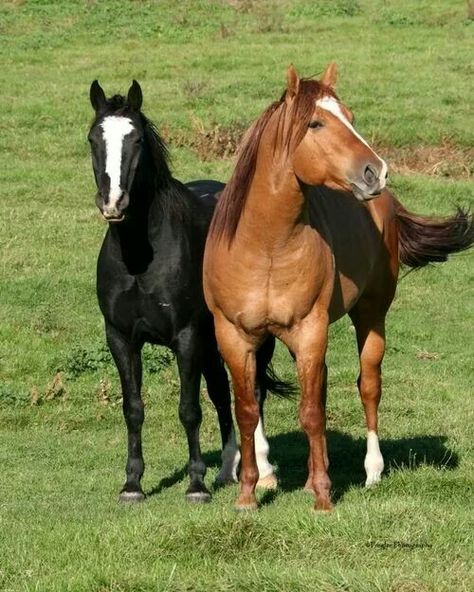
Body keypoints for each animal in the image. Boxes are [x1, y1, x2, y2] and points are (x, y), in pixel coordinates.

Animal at [88, 80, 282, 504]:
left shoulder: (187, 337)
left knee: (254, 392)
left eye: (137, 139)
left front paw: (196, 485)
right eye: (93, 138)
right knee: (224, 394)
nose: (113, 203)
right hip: (214, 341)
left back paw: (262, 472)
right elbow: (133, 408)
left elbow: (189, 409)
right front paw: (132, 484)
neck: (141, 258)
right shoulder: (120, 338)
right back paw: (228, 469)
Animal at [204, 63, 474, 508]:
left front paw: (323, 499)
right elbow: (247, 410)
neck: (267, 246)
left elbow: (312, 412)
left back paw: (372, 472)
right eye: (315, 123)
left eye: (350, 116)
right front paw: (248, 494)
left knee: (369, 386)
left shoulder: (310, 330)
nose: (376, 171)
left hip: (370, 315)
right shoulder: (234, 335)